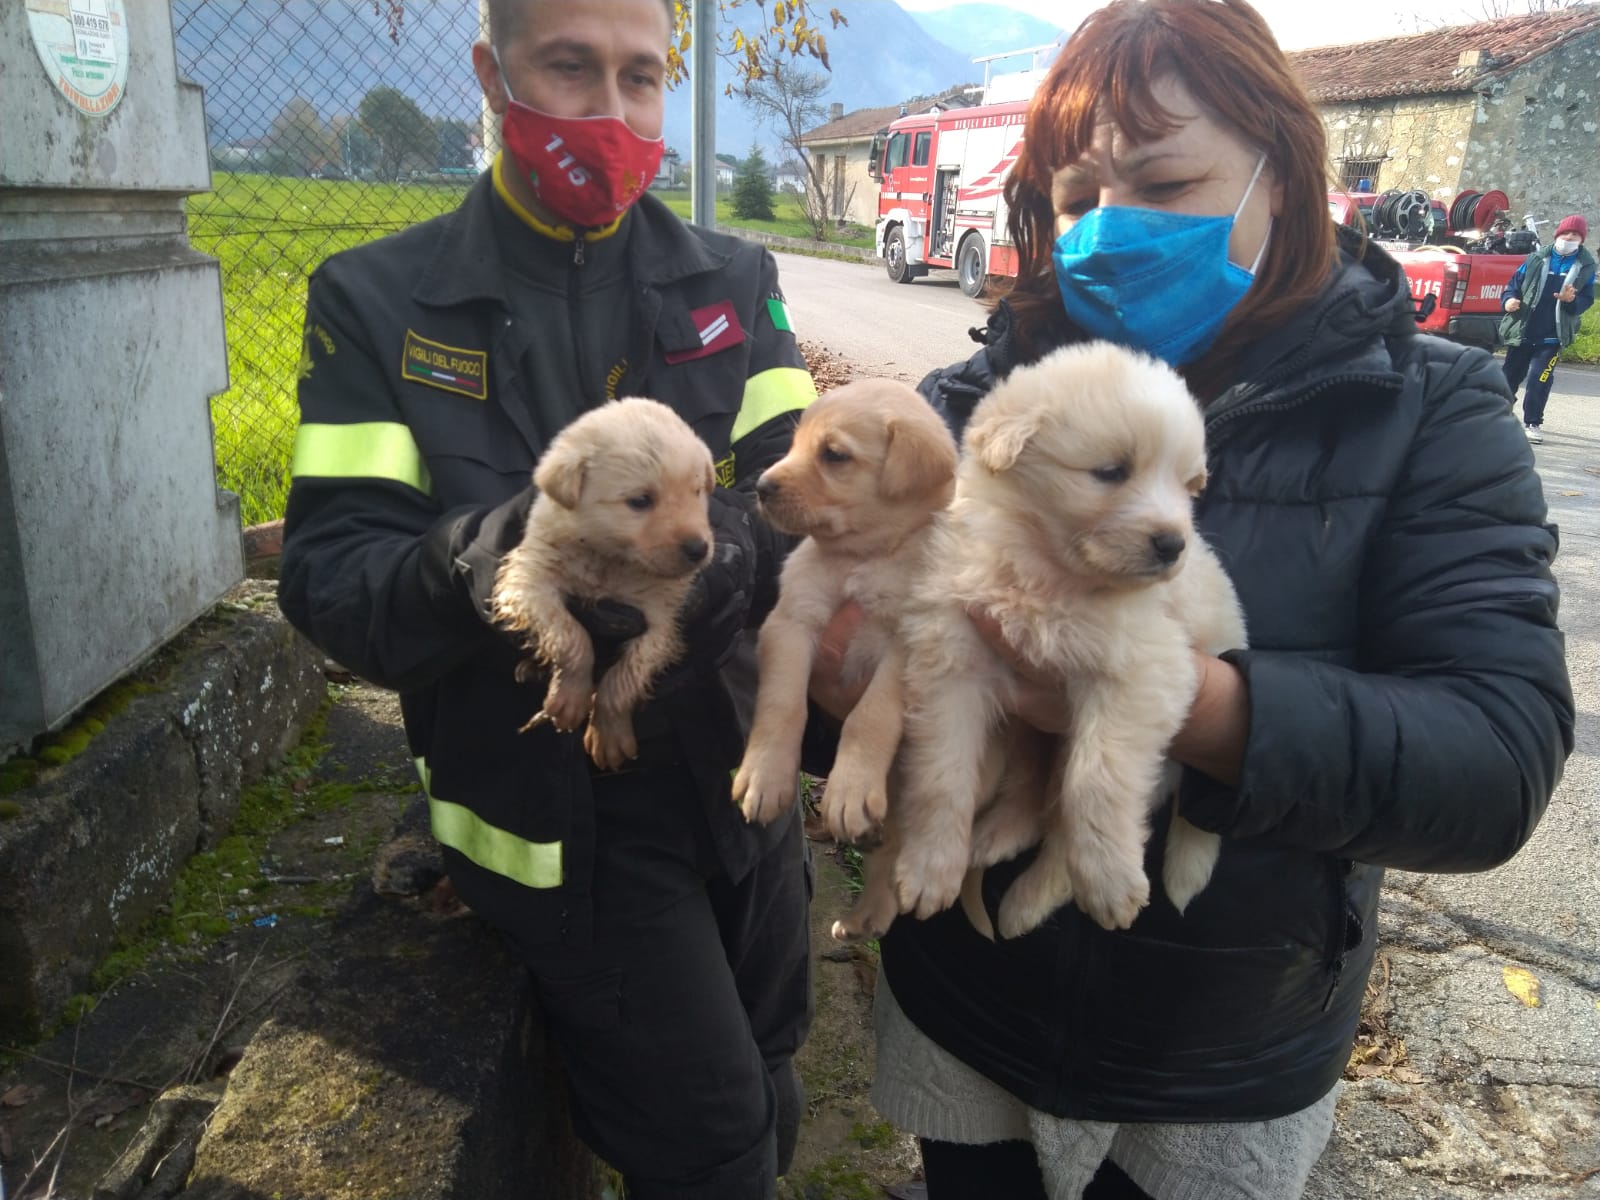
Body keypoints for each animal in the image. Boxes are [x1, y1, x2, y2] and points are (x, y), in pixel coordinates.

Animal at [486, 395, 713, 771]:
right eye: (640, 500)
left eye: (697, 492)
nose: (699, 549)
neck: (609, 562)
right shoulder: (531, 578)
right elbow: (570, 637)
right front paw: (569, 697)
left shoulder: (661, 618)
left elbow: (624, 678)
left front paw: (608, 733)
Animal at [732, 377, 953, 908]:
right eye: (793, 444)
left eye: (833, 454)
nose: (762, 488)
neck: (864, 559)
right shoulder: (791, 622)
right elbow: (781, 706)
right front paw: (765, 775)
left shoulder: (909, 645)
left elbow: (868, 717)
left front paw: (850, 788)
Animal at [889, 342, 1248, 947]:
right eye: (1111, 471)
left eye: (1186, 485)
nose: (1173, 544)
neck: (1046, 575)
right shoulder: (952, 663)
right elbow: (941, 775)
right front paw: (927, 868)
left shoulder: (1143, 673)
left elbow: (1094, 781)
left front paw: (1109, 881)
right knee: (1035, 797)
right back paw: (993, 840)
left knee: (1062, 822)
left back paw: (1033, 901)